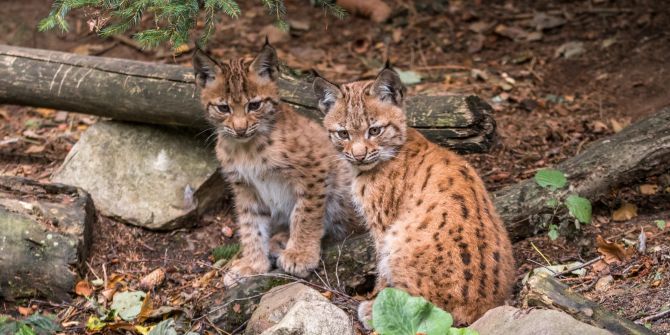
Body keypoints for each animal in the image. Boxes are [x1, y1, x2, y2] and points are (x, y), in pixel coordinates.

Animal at [194, 40, 362, 284]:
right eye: (223, 108)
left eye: (254, 105)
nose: (240, 129)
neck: (245, 148)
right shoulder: (244, 185)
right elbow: (250, 225)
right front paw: (253, 264)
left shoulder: (315, 167)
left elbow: (305, 213)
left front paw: (300, 254)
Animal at [314, 65, 516, 326]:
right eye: (343, 134)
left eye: (374, 130)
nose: (359, 155)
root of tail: (480, 310)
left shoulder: (383, 225)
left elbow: (381, 264)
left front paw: (377, 298)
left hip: (399, 238)